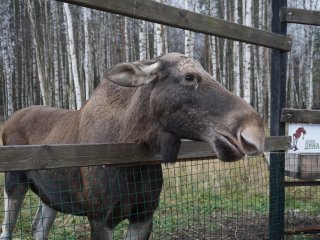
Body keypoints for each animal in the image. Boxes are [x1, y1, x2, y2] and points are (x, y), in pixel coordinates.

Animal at [0, 53, 264, 240]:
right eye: (189, 77)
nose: (255, 132)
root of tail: (8, 121)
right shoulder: (100, 218)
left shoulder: (144, 215)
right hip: (14, 183)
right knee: (8, 230)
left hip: (51, 196)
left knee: (38, 227)